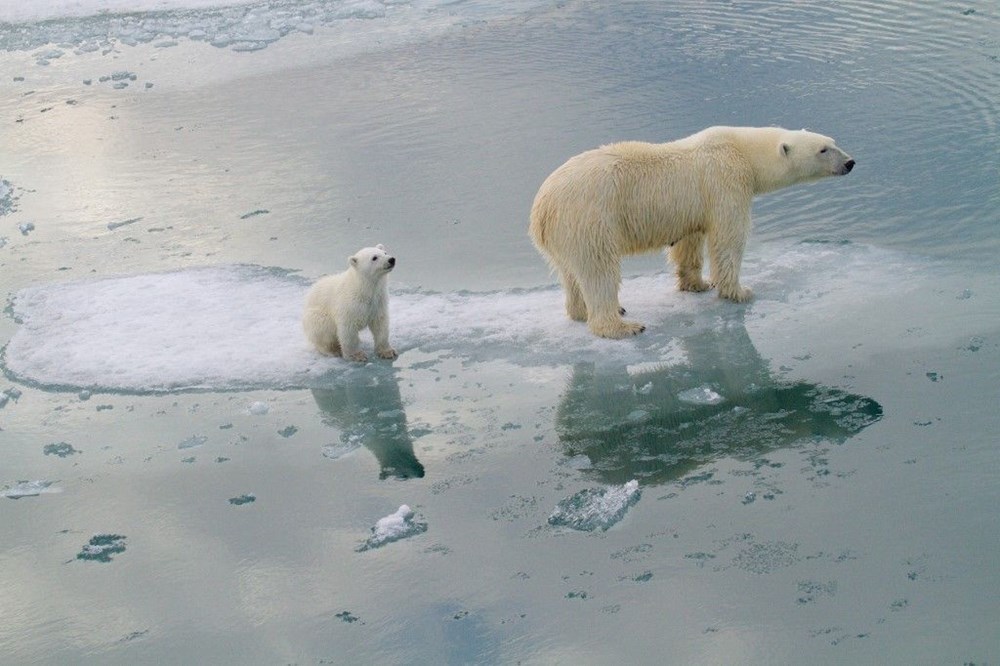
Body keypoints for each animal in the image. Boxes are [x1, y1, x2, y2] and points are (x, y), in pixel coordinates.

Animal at [528, 126, 856, 338]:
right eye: (823, 149)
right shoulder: (725, 182)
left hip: (565, 233)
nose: (851, 162)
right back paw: (622, 325)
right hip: (590, 218)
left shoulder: (693, 207)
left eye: (832, 140)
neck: (742, 149)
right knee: (599, 270)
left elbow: (690, 242)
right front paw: (739, 291)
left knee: (571, 273)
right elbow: (728, 238)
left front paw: (697, 284)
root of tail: (542, 208)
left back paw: (581, 312)